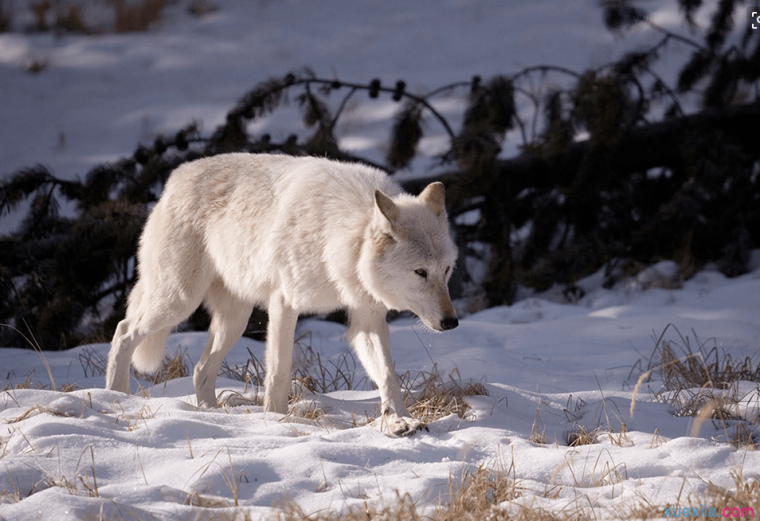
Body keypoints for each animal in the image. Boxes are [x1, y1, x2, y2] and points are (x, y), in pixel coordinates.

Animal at [104, 153, 460, 434]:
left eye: (446, 271)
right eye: (420, 272)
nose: (452, 322)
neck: (339, 236)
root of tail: (174, 178)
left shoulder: (367, 316)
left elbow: (387, 375)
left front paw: (402, 421)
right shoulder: (284, 303)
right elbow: (278, 372)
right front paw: (276, 421)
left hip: (234, 320)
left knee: (200, 370)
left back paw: (212, 415)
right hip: (177, 301)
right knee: (124, 331)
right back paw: (117, 395)